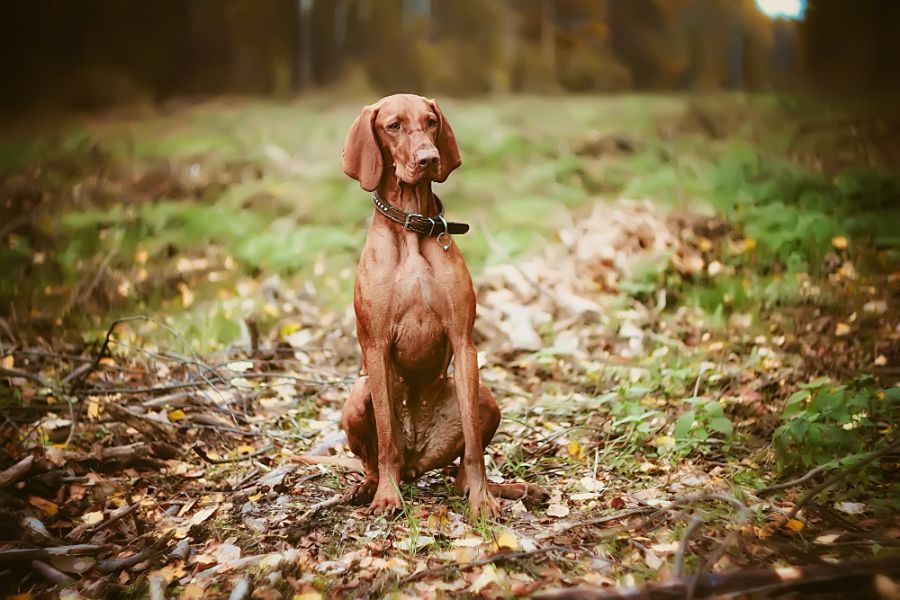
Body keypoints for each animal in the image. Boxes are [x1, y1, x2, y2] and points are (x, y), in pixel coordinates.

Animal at [342, 94, 532, 516]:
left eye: (430, 122)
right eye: (393, 126)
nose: (429, 158)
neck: (412, 227)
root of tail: (418, 460)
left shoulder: (464, 343)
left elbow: (475, 448)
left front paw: (482, 500)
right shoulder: (375, 347)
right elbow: (386, 438)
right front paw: (387, 497)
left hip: (486, 399)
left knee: (459, 468)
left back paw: (502, 489)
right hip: (358, 395)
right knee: (379, 457)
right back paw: (372, 485)